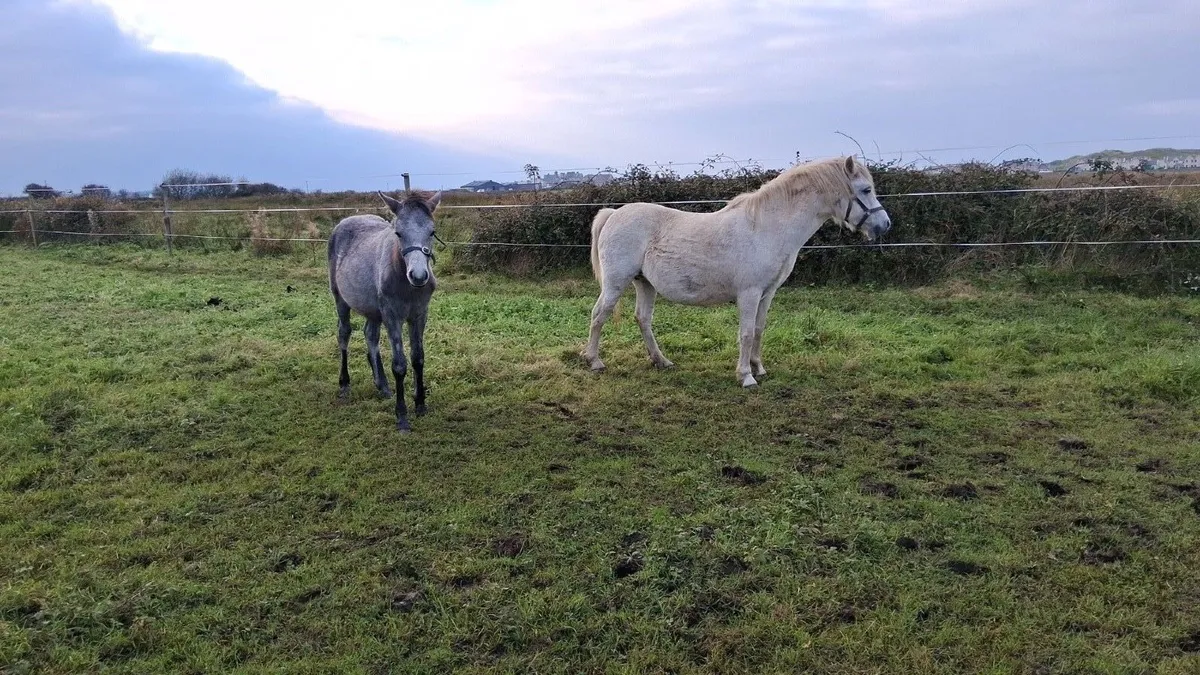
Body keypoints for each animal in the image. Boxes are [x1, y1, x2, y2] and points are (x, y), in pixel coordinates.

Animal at [327, 190, 441, 432]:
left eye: (432, 232)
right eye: (398, 233)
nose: (418, 276)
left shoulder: (419, 315)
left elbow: (418, 358)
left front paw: (420, 404)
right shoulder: (392, 316)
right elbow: (399, 364)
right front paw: (402, 416)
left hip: (373, 310)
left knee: (370, 335)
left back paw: (382, 385)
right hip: (340, 299)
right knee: (344, 334)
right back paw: (345, 383)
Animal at [582, 155, 891, 388]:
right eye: (865, 190)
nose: (885, 224)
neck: (767, 228)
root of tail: (614, 214)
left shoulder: (767, 294)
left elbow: (759, 329)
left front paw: (758, 368)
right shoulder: (749, 293)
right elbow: (745, 333)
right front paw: (746, 376)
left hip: (645, 284)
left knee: (643, 319)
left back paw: (661, 361)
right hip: (616, 283)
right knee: (599, 315)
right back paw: (594, 361)